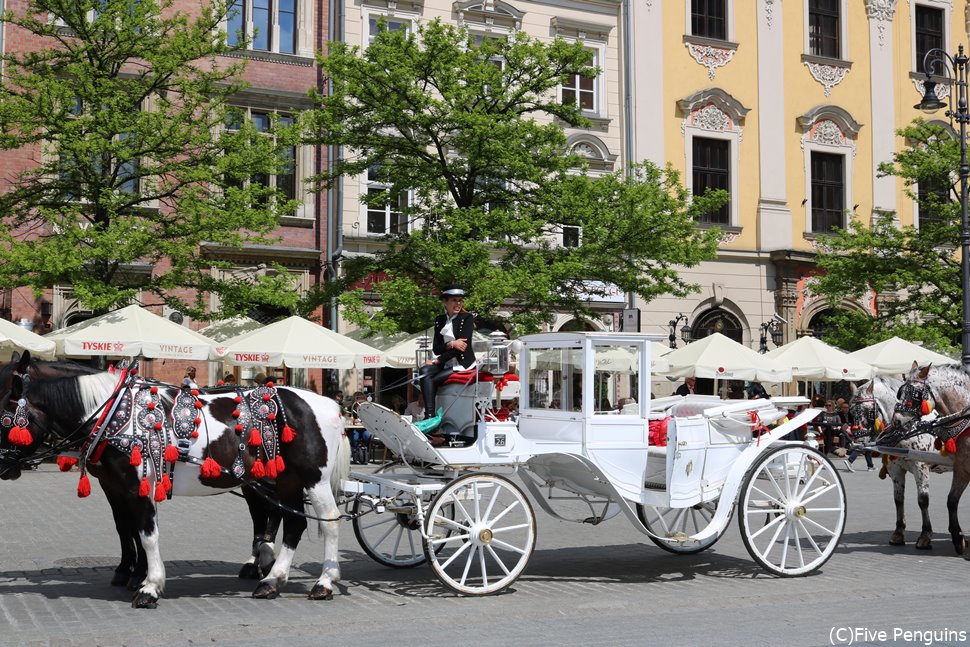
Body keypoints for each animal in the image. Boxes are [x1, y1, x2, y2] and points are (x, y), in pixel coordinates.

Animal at [0, 352, 352, 604]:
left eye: (4, 410)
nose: (4, 467)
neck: (114, 413)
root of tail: (329, 403)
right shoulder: (116, 487)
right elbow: (127, 530)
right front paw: (134, 574)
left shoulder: (138, 485)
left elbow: (147, 534)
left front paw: (149, 586)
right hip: (285, 480)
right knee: (292, 523)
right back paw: (271, 580)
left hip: (314, 479)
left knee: (330, 522)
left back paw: (323, 582)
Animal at [848, 378, 932, 548]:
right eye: (851, 413)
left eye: (870, 412)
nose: (858, 444)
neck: (907, 428)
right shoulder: (896, 469)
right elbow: (898, 500)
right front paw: (898, 533)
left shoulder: (921, 467)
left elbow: (923, 500)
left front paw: (925, 535)